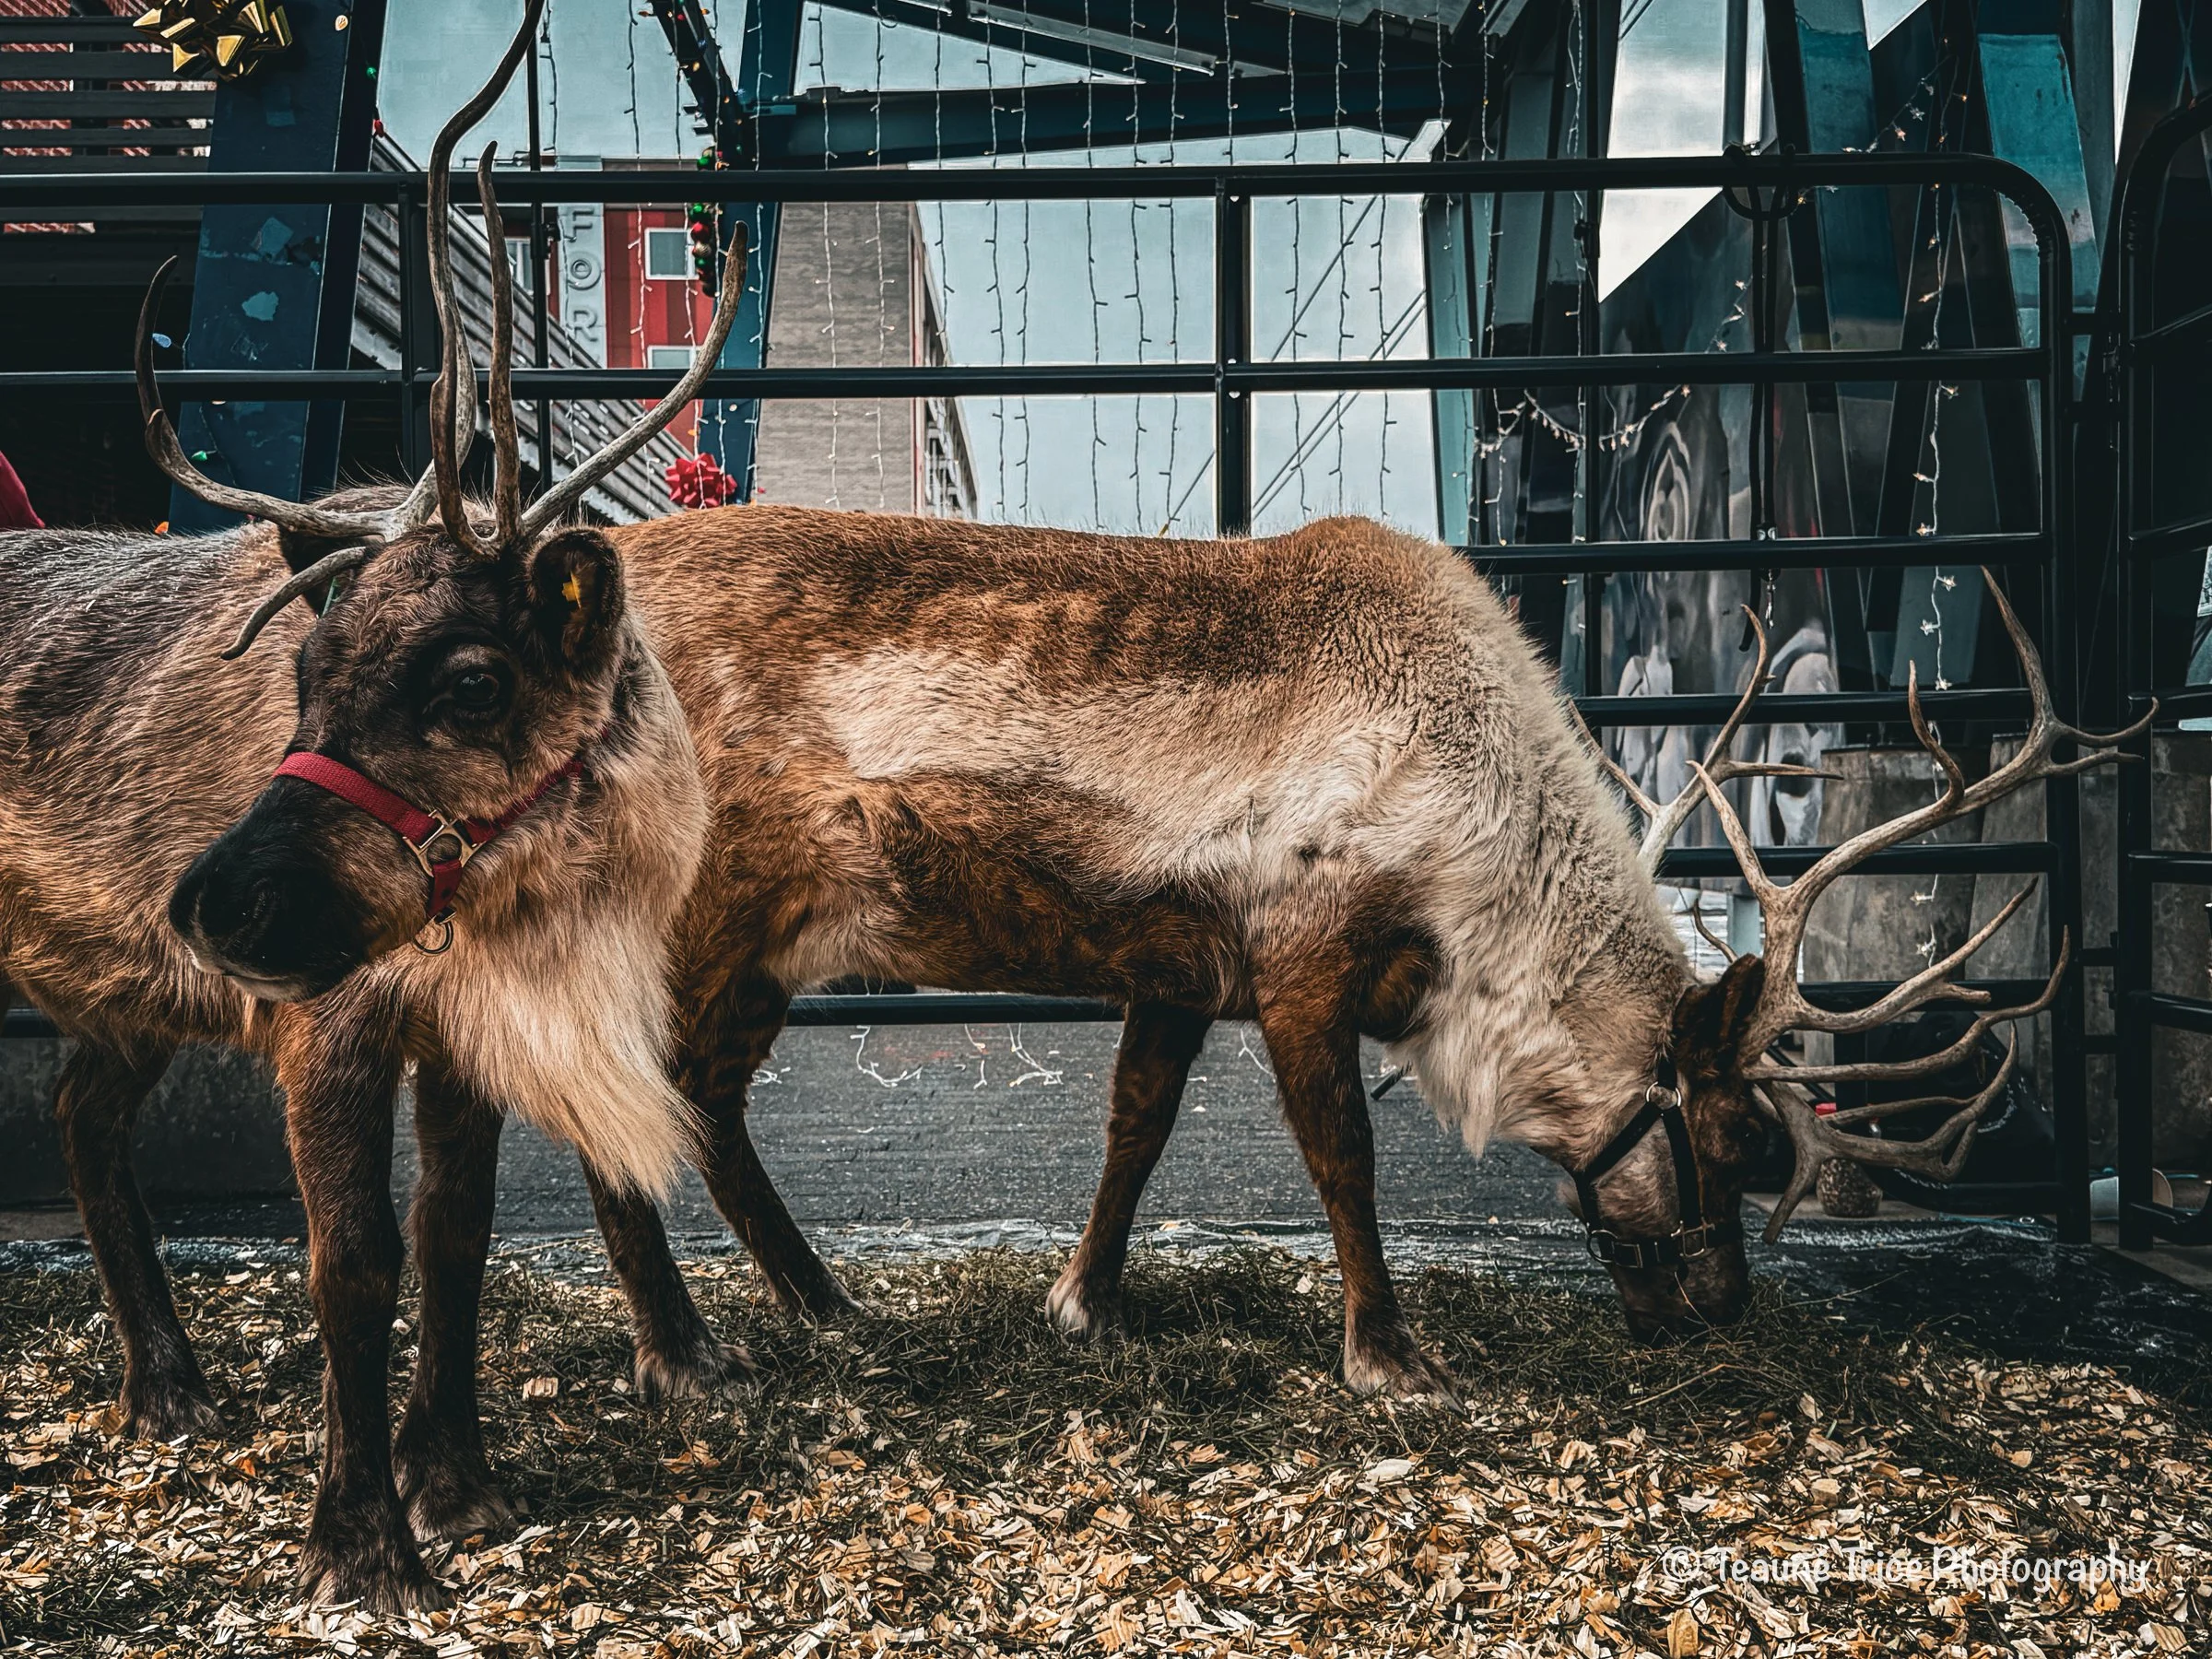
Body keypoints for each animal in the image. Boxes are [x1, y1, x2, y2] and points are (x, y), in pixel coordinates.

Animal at [0, 0, 754, 1609]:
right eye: (303, 670)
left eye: (471, 683)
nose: (207, 902)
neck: (526, 902)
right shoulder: (328, 1023)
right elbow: (349, 1263)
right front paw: (360, 1539)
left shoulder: (452, 1035)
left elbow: (454, 1240)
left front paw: (454, 1482)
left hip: (130, 1001)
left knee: (82, 1109)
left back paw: (167, 1381)